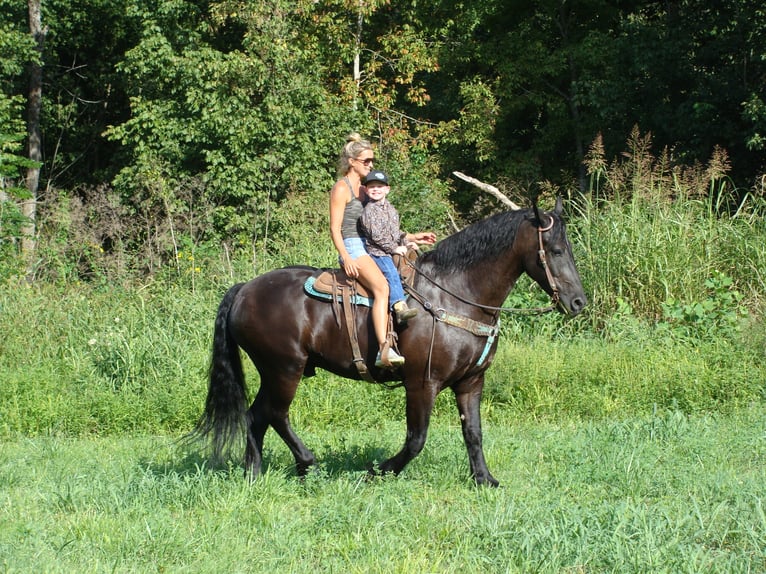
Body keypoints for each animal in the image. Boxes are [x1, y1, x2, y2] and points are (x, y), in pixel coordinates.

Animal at [194, 198, 588, 486]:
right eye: (555, 250)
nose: (578, 302)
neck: (457, 293)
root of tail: (244, 289)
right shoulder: (422, 383)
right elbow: (416, 439)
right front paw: (378, 471)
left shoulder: (471, 381)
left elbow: (473, 433)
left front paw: (484, 479)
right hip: (284, 369)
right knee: (274, 414)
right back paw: (306, 464)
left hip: (275, 371)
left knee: (256, 416)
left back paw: (254, 473)